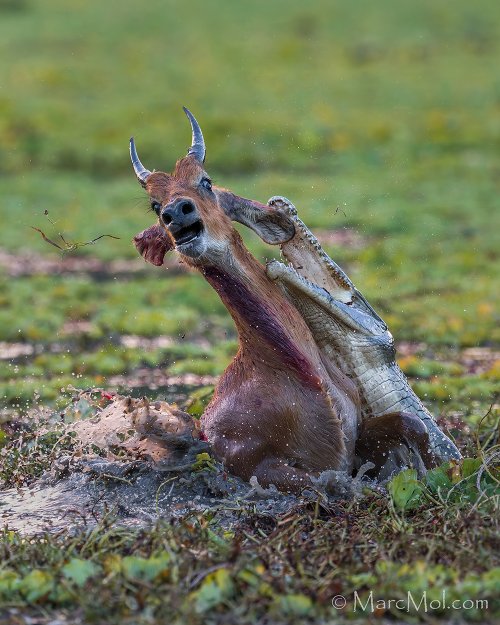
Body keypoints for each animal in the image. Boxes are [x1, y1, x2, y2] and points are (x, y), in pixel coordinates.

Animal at [130, 107, 438, 490]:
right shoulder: (273, 468)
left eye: (206, 181)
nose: (176, 213)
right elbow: (336, 485)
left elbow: (412, 425)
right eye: (155, 204)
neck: (299, 371)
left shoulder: (356, 437)